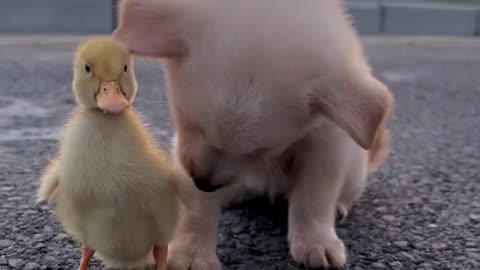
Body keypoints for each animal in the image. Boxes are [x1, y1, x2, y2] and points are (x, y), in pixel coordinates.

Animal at [113, 0, 394, 268]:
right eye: (188, 122)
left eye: (261, 150)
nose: (203, 182)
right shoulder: (185, 151)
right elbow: (197, 209)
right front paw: (190, 254)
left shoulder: (328, 146)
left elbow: (314, 198)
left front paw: (316, 241)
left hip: (355, 172)